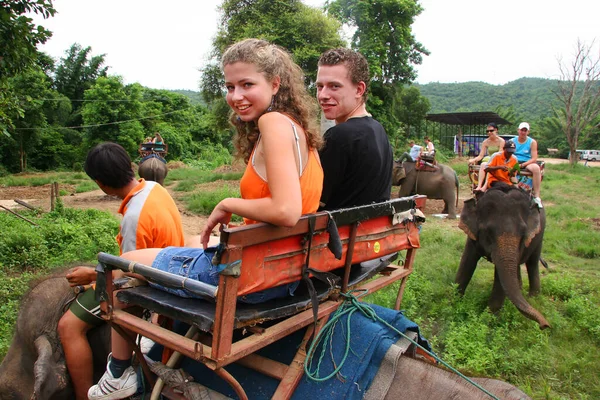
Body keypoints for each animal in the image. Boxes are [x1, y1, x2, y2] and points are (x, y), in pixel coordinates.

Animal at [454, 184, 548, 328]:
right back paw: (521, 289)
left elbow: (500, 275)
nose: (545, 325)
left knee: (532, 263)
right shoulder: (472, 235)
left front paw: (488, 320)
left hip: (540, 235)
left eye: (523, 233)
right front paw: (453, 301)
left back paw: (533, 297)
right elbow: (467, 261)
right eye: (488, 231)